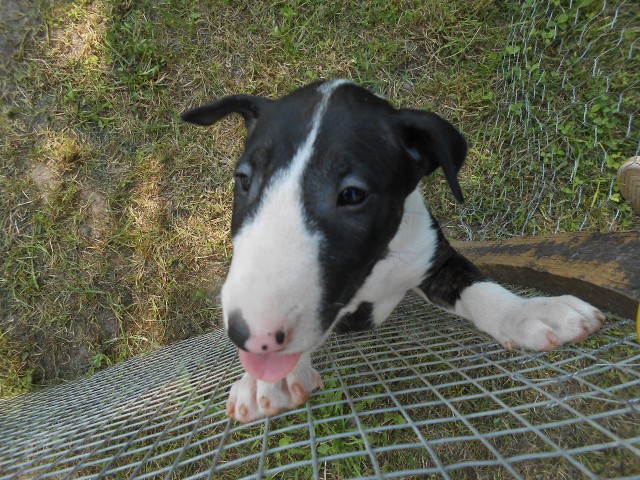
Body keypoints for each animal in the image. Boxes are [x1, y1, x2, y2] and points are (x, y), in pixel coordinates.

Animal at [181, 80, 604, 423]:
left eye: (353, 194)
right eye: (244, 180)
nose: (249, 336)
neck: (377, 267)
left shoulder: (435, 260)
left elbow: (481, 290)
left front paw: (530, 312)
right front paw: (268, 379)